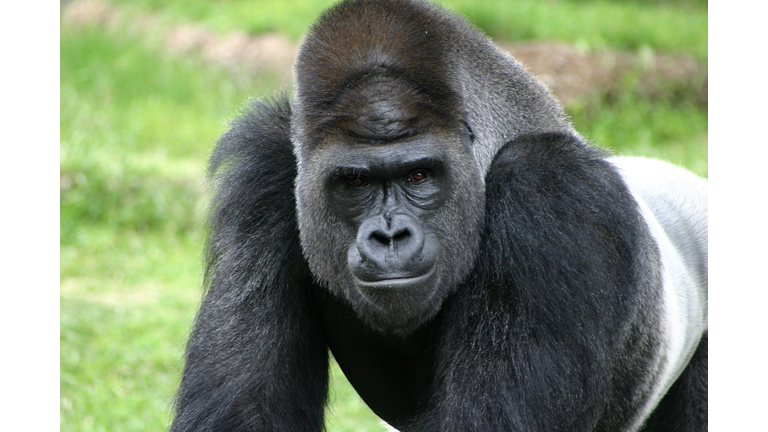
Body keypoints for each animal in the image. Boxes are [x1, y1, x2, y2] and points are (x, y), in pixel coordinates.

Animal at [172, 0, 708, 432]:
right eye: (355, 183)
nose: (389, 236)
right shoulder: (265, 169)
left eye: (419, 176)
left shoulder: (555, 191)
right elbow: (244, 411)